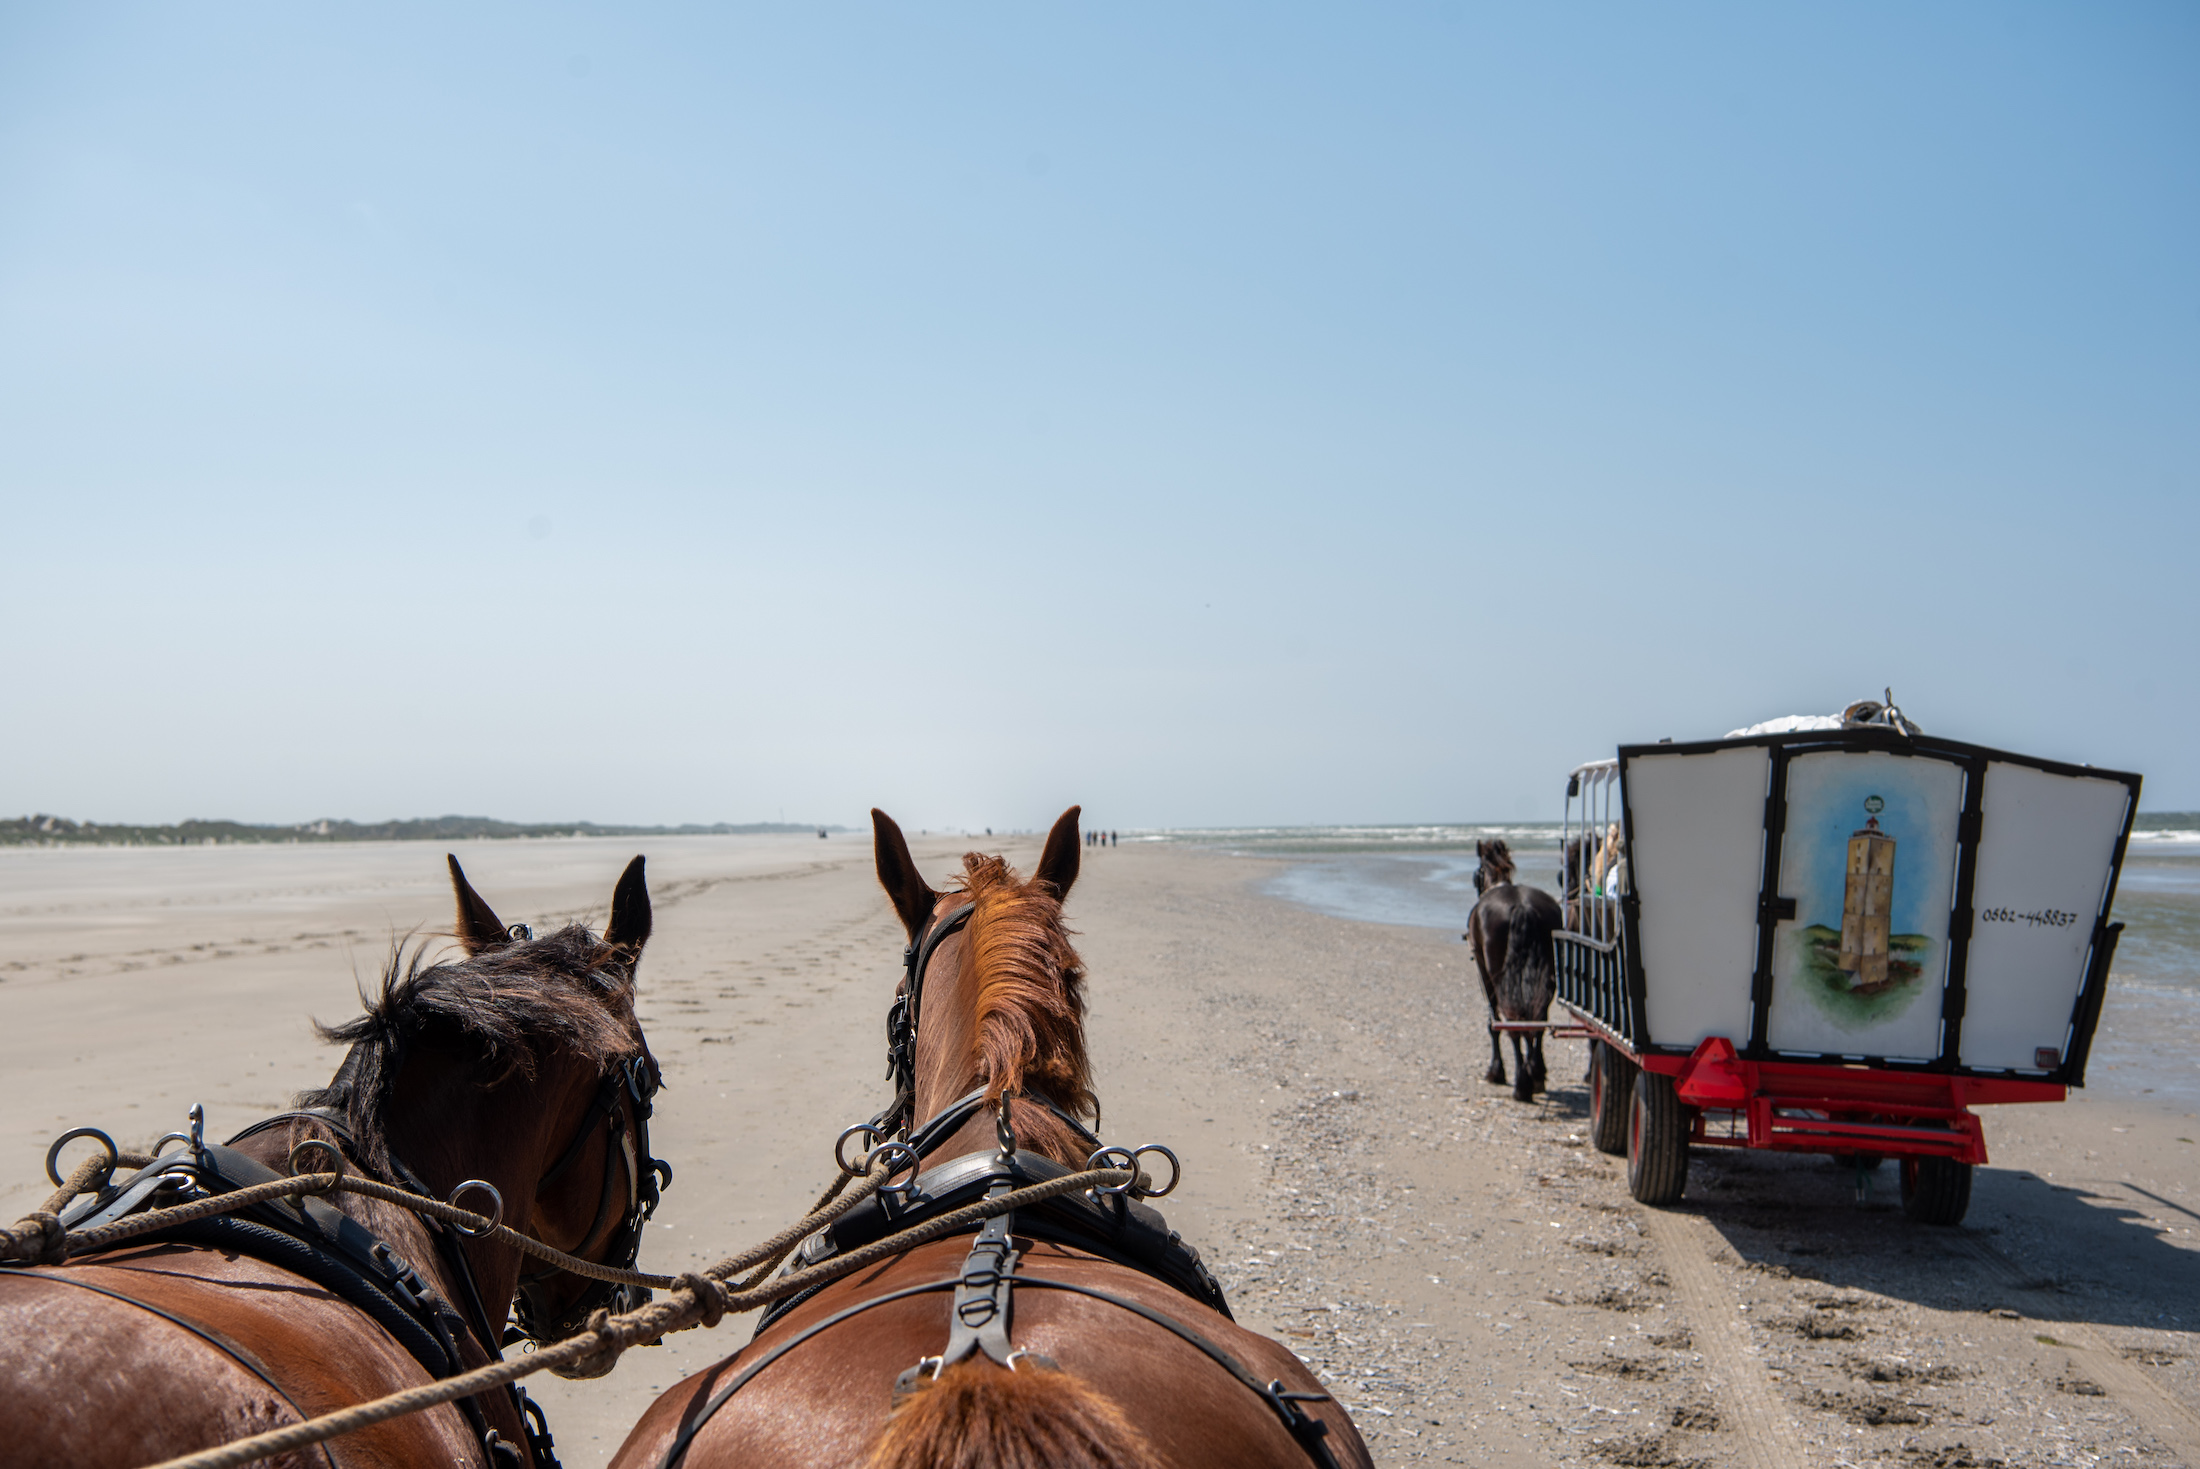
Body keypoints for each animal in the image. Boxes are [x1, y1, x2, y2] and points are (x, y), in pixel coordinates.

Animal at [1460, 835, 1566, 1099]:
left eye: (1477, 872)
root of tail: (1523, 906)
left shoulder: (1484, 974)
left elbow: (1493, 1023)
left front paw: (1496, 1070)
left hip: (1498, 978)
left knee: (1513, 1022)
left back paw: (1521, 1083)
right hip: (1547, 975)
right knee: (1537, 1020)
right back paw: (1535, 1073)